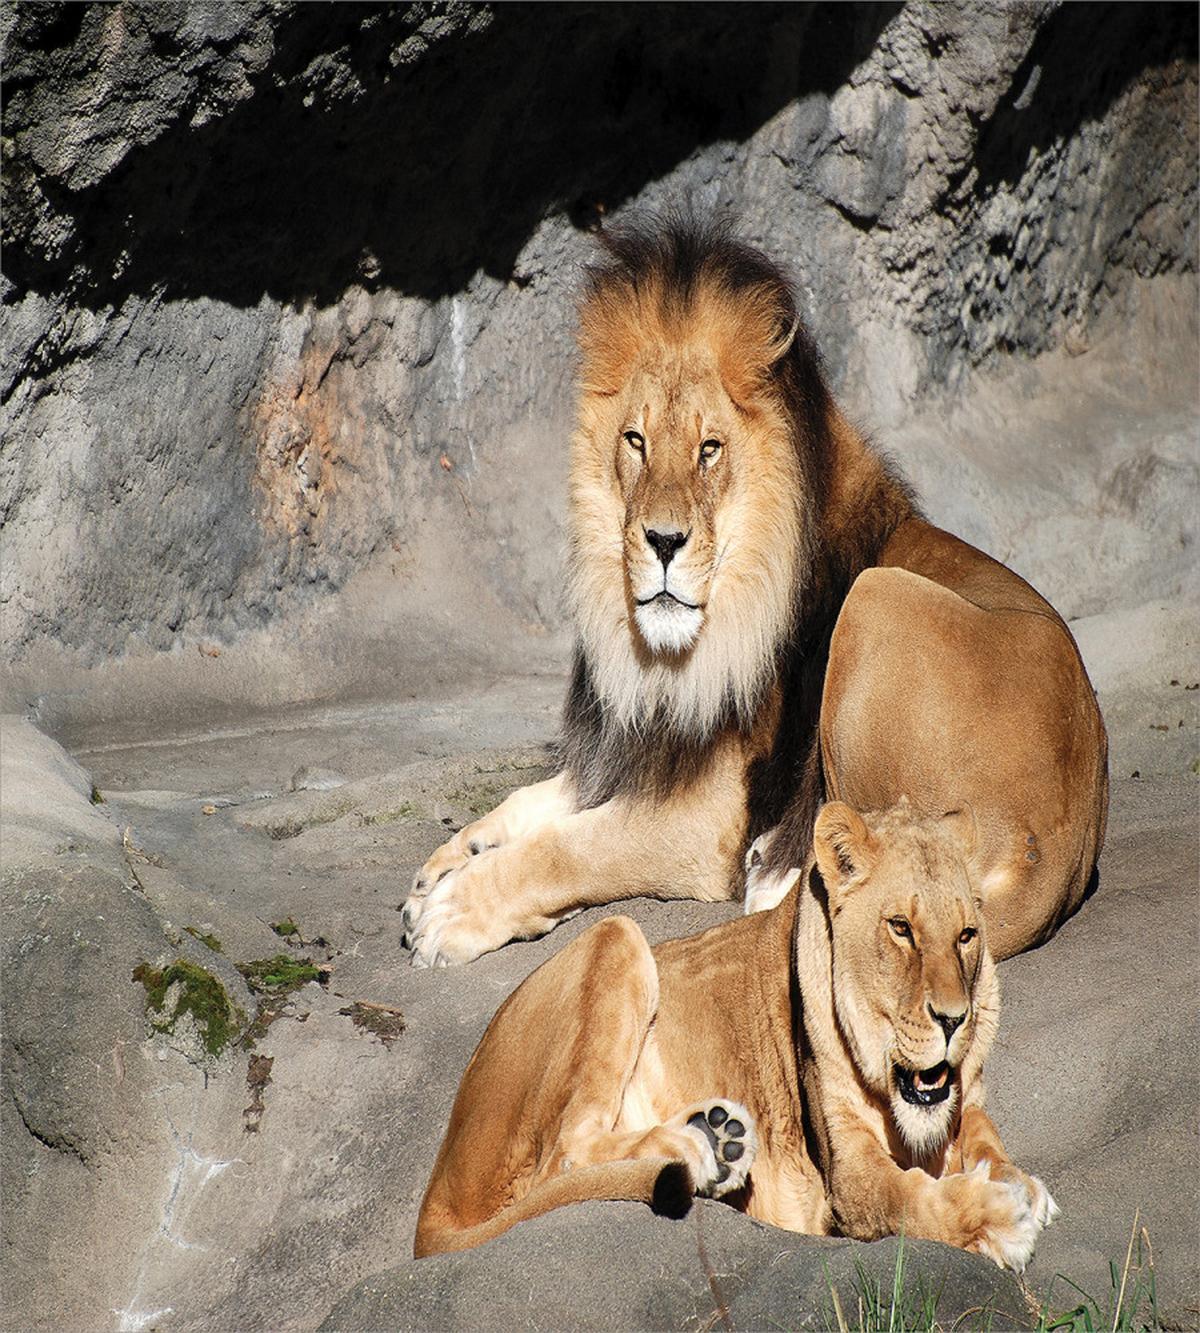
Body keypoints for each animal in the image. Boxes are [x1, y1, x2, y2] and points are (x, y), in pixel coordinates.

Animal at [401, 218, 1108, 967]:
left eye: (710, 448)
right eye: (635, 441)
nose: (662, 541)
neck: (666, 656)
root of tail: (1056, 856)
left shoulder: (705, 819)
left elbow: (570, 848)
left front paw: (454, 908)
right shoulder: (645, 750)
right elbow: (533, 801)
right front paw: (445, 864)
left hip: (877, 600)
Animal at [415, 799, 1058, 1270]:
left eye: (967, 935)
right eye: (900, 927)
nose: (953, 1019)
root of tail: (436, 1186)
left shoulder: (964, 1099)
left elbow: (984, 1133)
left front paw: (1021, 1183)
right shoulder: (845, 1171)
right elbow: (907, 1202)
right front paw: (997, 1217)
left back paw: (718, 1136)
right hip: (617, 933)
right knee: (567, 1157)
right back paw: (695, 1149)